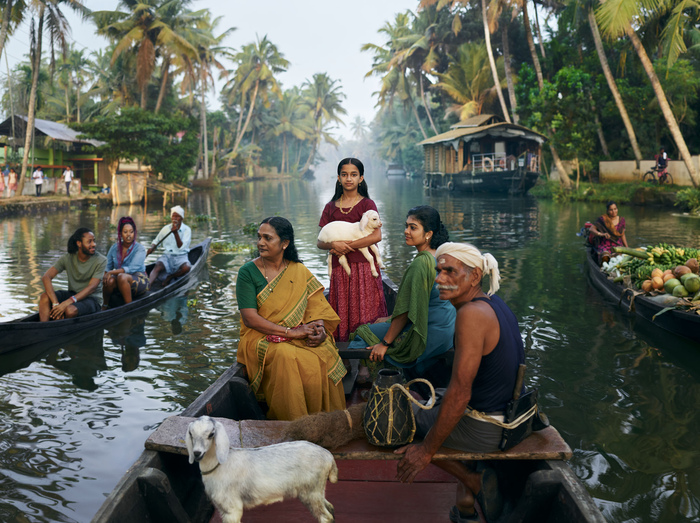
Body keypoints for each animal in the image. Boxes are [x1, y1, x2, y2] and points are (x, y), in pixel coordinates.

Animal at [186, 418, 340, 523]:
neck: (221, 464)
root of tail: (328, 456)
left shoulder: (232, 508)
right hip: (317, 489)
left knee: (325, 517)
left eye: (211, 434)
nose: (197, 453)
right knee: (330, 508)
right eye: (191, 433)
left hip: (310, 492)